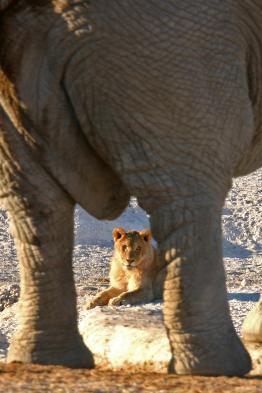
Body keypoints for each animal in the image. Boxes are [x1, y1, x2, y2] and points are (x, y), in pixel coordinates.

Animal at [0, 0, 260, 376]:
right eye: (124, 248)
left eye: (136, 249)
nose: (131, 258)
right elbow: (105, 293)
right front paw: (93, 302)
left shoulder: (145, 286)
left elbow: (131, 295)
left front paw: (118, 301)